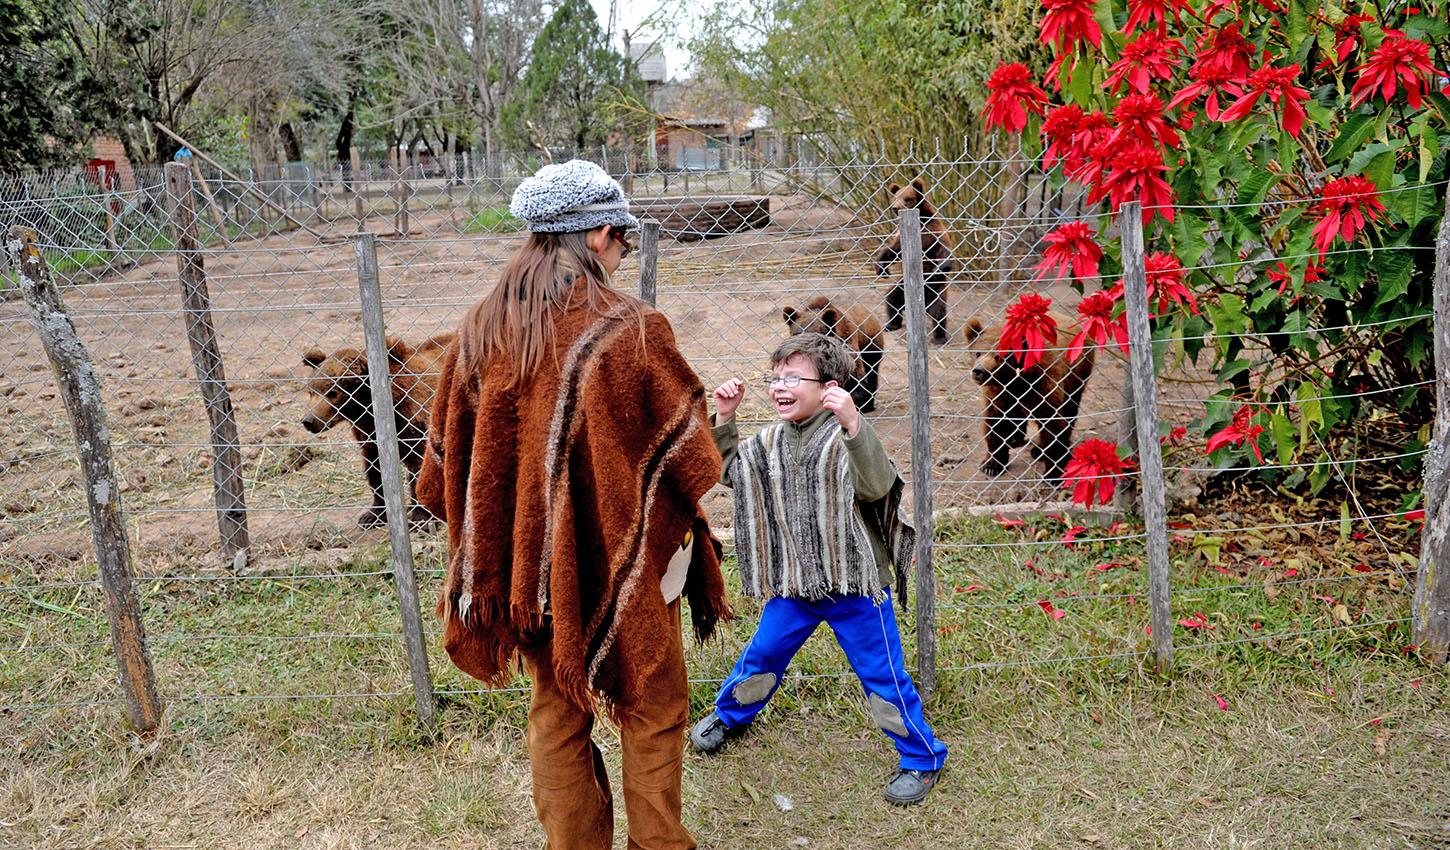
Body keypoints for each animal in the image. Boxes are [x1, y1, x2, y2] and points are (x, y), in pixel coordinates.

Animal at [304, 329, 458, 522]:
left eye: (332, 392)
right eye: (311, 391)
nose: (309, 421)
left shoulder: (414, 418)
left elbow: (419, 467)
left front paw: (420, 517)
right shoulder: (368, 431)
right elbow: (374, 468)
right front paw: (373, 514)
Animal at [875, 176, 957, 342]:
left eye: (907, 198)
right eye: (895, 197)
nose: (895, 207)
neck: (920, 220)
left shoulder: (934, 233)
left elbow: (944, 253)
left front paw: (937, 269)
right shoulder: (901, 237)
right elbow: (892, 251)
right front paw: (881, 268)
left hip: (936, 290)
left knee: (938, 311)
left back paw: (940, 337)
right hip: (902, 286)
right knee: (892, 299)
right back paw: (892, 324)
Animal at [968, 316, 1090, 478]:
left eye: (999, 356)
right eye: (978, 353)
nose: (979, 371)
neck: (1015, 380)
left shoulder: (1044, 386)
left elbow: (1052, 426)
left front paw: (1053, 472)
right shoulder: (999, 395)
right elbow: (996, 424)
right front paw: (991, 465)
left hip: (1077, 375)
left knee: (1070, 410)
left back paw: (1042, 450)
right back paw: (1015, 439)